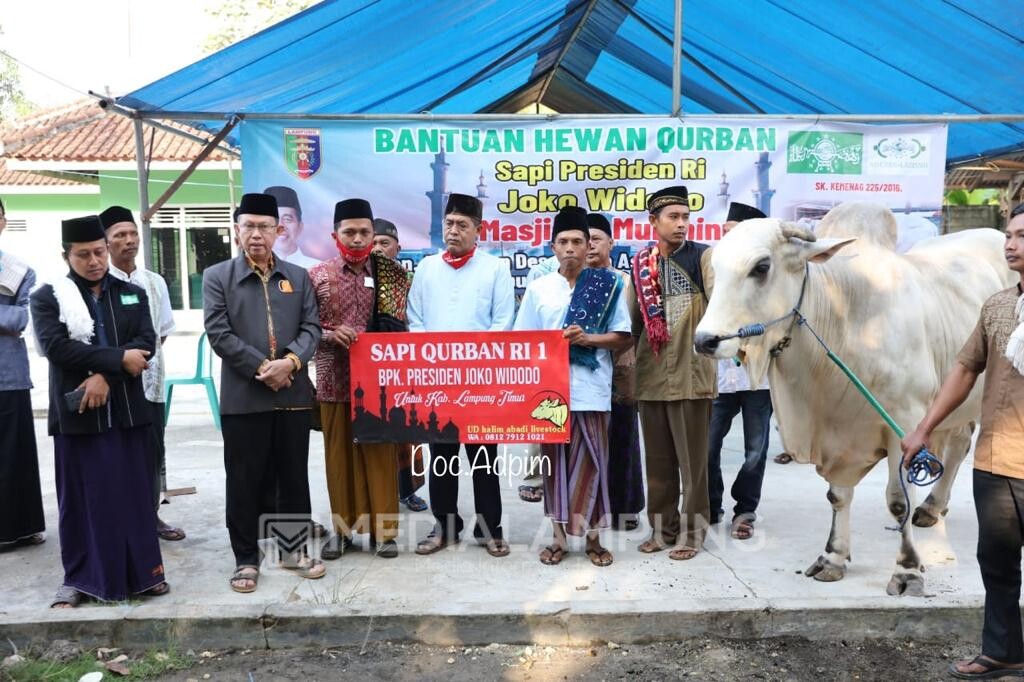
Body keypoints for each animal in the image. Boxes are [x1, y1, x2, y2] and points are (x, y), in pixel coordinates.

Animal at [692, 202, 1011, 593]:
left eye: (761, 266)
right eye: (715, 267)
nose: (705, 340)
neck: (846, 316)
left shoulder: (905, 425)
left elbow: (898, 502)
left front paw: (907, 569)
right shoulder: (838, 433)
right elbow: (838, 496)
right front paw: (833, 557)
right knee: (961, 442)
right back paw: (933, 508)